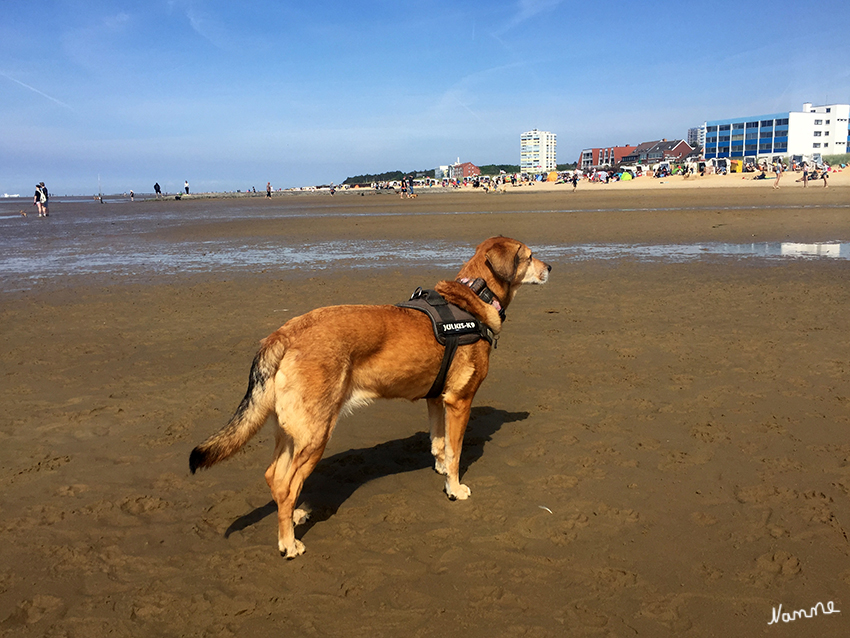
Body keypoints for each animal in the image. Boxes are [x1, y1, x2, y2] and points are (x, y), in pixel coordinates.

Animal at [189, 236, 548, 560]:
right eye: (530, 256)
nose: (551, 267)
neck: (473, 296)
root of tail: (284, 333)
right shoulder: (459, 401)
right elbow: (456, 452)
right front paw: (454, 488)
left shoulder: (435, 399)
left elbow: (439, 444)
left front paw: (441, 469)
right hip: (315, 434)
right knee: (287, 486)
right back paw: (288, 543)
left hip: (291, 431)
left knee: (275, 478)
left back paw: (293, 516)